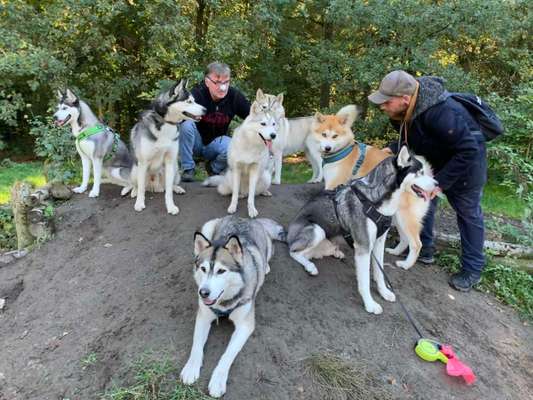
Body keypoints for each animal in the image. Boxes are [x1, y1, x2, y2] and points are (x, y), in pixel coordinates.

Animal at [128, 79, 205, 214]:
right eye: (189, 101)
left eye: (194, 100)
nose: (205, 110)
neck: (166, 123)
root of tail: (154, 186)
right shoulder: (143, 163)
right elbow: (141, 188)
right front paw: (139, 203)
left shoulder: (169, 162)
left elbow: (168, 191)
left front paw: (171, 206)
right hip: (135, 170)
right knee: (137, 185)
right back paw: (134, 191)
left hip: (175, 169)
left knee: (169, 185)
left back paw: (177, 188)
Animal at [180, 216, 286, 396]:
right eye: (203, 269)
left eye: (221, 271)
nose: (203, 293)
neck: (224, 303)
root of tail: (246, 218)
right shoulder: (203, 317)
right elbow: (196, 345)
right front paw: (191, 368)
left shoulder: (245, 325)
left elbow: (227, 355)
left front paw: (218, 380)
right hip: (208, 226)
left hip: (267, 245)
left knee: (267, 256)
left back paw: (265, 266)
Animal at [288, 145, 434, 314]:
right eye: (419, 172)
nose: (437, 184)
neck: (373, 200)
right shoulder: (364, 247)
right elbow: (364, 282)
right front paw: (370, 304)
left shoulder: (379, 242)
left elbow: (379, 272)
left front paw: (384, 292)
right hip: (318, 230)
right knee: (294, 252)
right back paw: (310, 266)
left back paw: (335, 252)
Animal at [316, 106, 432, 268]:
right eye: (324, 134)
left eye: (335, 136)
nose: (327, 148)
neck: (343, 152)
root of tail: (428, 176)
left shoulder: (333, 186)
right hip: (395, 216)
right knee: (405, 239)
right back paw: (395, 252)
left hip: (405, 217)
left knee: (416, 243)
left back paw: (406, 264)